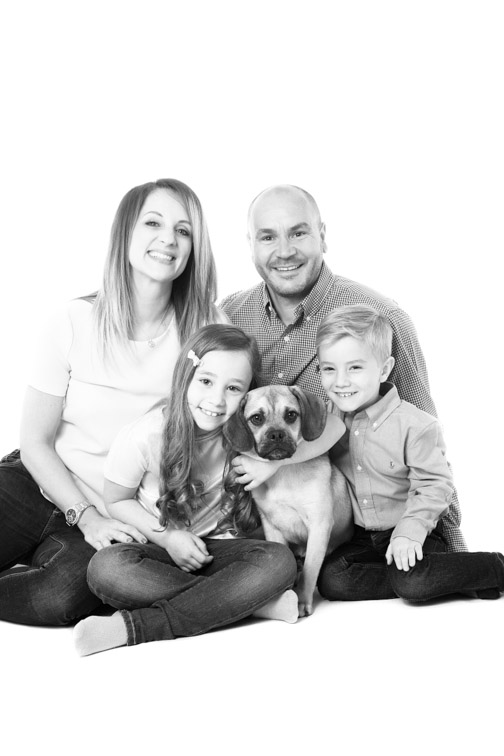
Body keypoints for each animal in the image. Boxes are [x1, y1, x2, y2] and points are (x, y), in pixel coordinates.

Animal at [224, 385, 353, 617]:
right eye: (256, 418)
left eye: (291, 415)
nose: (276, 434)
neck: (282, 472)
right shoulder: (271, 527)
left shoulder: (319, 526)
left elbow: (310, 571)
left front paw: (301, 599)